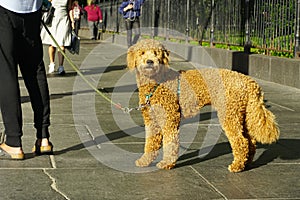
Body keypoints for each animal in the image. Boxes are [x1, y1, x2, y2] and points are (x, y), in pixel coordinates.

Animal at [126, 38, 278, 172]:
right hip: (242, 114)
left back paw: (236, 166)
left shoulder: (170, 118)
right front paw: (145, 161)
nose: (150, 61)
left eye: (156, 53)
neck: (157, 82)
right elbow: (150, 143)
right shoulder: (151, 120)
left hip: (230, 114)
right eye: (142, 53)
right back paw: (246, 163)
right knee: (250, 141)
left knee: (241, 141)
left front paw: (166, 163)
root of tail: (250, 82)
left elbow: (170, 143)